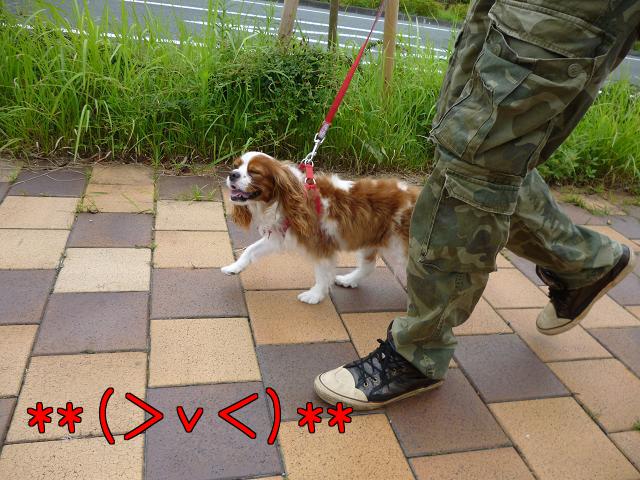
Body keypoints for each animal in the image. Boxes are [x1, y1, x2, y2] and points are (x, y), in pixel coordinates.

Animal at [221, 151, 419, 304]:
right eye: (236, 166)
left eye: (254, 172)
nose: (232, 174)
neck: (284, 199)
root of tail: (415, 196)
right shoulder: (279, 235)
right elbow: (250, 250)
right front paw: (234, 267)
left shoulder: (321, 245)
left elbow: (322, 273)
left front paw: (315, 295)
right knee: (368, 266)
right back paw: (349, 280)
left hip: (399, 247)